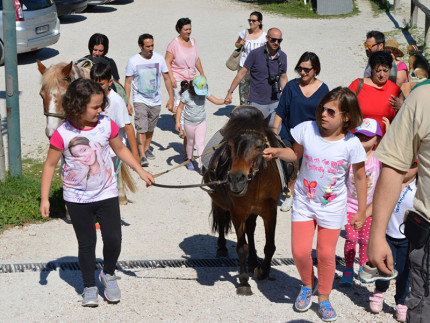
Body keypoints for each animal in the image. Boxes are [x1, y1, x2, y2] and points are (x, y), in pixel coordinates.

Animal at [203, 106, 284, 296]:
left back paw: (253, 259)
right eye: (230, 146)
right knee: (221, 220)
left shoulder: (270, 212)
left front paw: (262, 271)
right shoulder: (237, 213)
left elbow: (270, 246)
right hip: (220, 204)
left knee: (251, 229)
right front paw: (244, 281)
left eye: (259, 146)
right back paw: (222, 248)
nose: (235, 179)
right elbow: (241, 247)